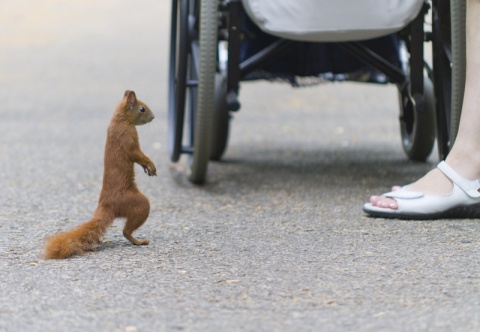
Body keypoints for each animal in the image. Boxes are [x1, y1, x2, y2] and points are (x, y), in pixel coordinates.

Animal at [43, 91, 157, 260]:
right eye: (142, 108)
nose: (153, 117)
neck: (120, 120)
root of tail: (106, 204)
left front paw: (147, 168)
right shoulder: (128, 138)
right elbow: (138, 155)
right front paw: (151, 166)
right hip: (138, 203)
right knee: (126, 230)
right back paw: (139, 241)